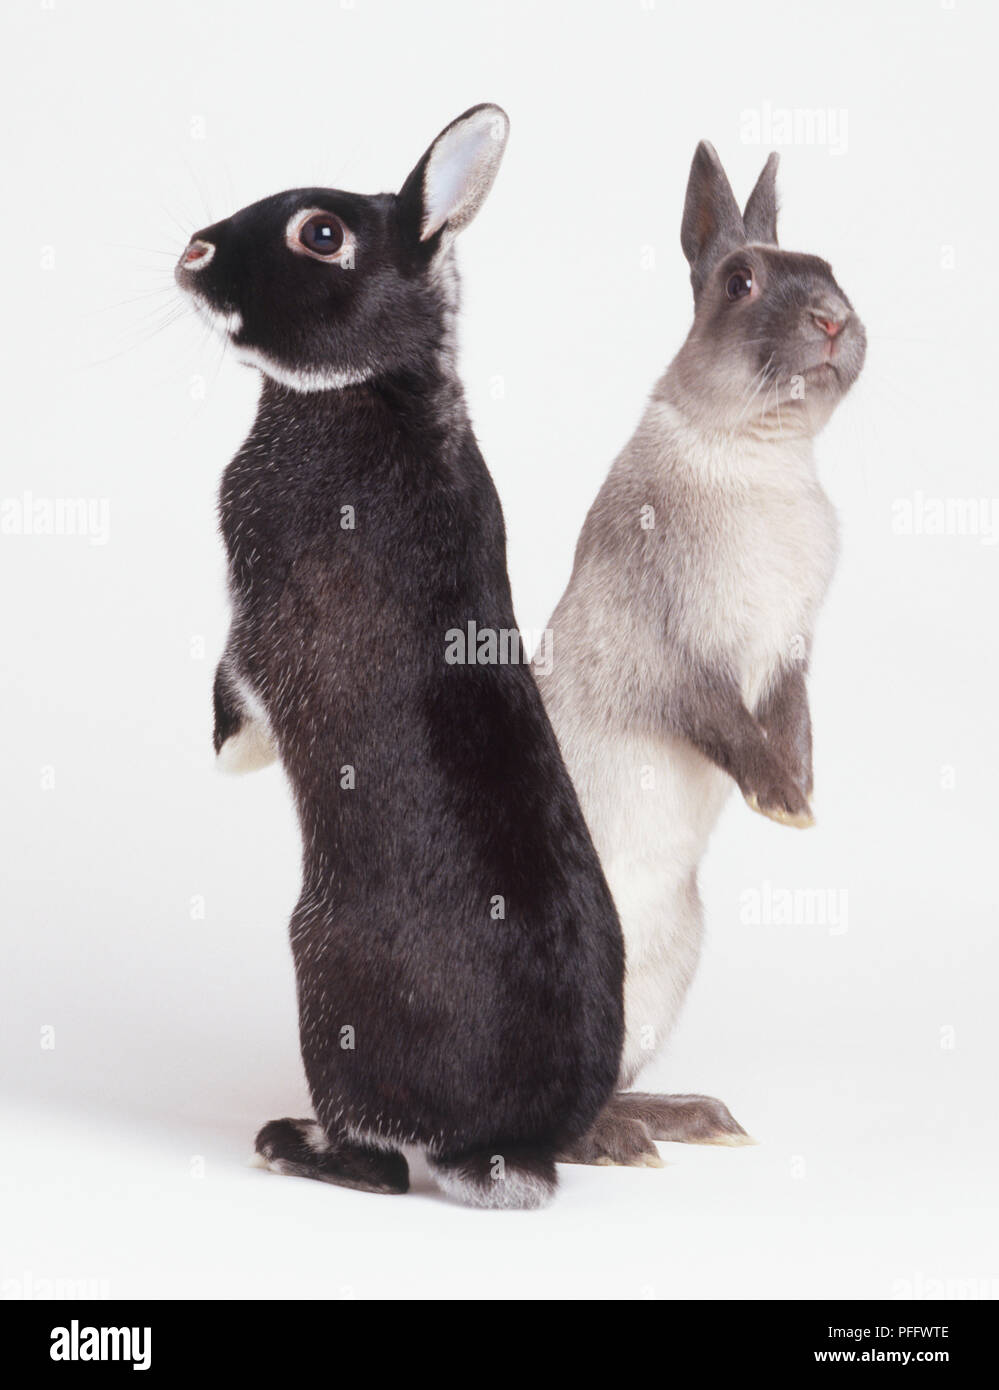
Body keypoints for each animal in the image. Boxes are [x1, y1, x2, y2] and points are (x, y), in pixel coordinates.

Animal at [175, 105, 625, 1208]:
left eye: (321, 236)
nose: (193, 251)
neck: (375, 386)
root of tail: (503, 1144)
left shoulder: (258, 607)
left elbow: (239, 682)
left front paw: (226, 752)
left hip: (322, 974)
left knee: (377, 1164)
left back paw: (289, 1142)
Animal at [534, 142, 866, 1165]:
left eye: (830, 268)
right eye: (738, 282)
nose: (832, 320)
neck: (760, 452)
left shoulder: (790, 653)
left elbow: (792, 720)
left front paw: (801, 797)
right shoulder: (676, 660)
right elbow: (730, 726)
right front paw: (783, 805)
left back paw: (678, 1121)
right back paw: (622, 1141)